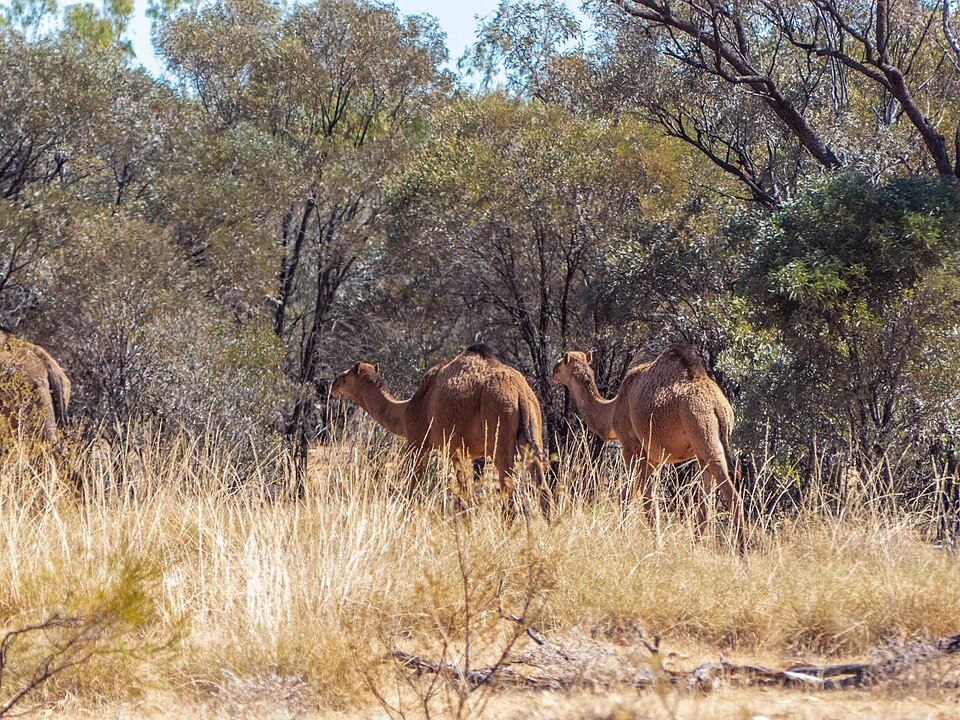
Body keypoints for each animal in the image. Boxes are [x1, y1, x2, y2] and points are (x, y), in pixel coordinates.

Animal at [331, 344, 552, 519]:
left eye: (348, 374)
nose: (334, 383)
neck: (405, 411)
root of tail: (519, 391)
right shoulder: (458, 451)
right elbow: (465, 496)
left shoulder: (417, 442)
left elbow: (413, 486)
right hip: (532, 429)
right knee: (542, 486)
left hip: (499, 425)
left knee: (508, 493)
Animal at [551, 344, 742, 536]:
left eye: (562, 363)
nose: (553, 369)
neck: (612, 412)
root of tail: (718, 406)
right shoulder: (653, 460)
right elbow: (637, 496)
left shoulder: (632, 448)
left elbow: (638, 498)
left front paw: (639, 538)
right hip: (705, 445)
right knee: (705, 504)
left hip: (701, 429)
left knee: (732, 496)